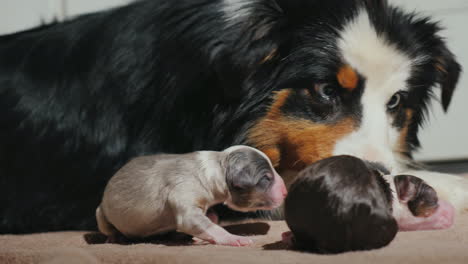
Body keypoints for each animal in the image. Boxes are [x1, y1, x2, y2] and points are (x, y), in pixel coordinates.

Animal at [96, 145, 286, 246]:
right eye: (266, 178)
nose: (285, 192)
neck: (218, 166)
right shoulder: (182, 189)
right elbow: (199, 222)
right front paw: (234, 238)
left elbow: (209, 219)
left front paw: (211, 218)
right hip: (101, 214)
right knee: (108, 227)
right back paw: (113, 237)